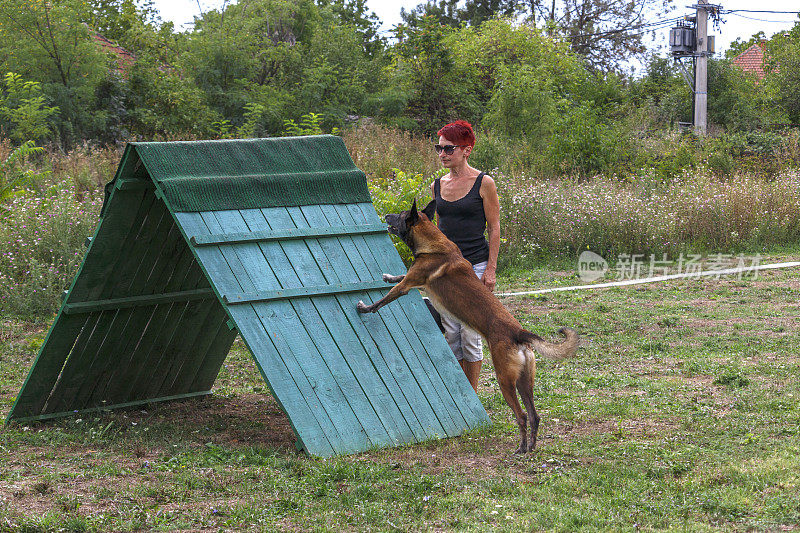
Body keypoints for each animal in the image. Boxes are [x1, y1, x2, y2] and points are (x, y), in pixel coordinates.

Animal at [356, 200, 576, 454]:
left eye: (401, 215)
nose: (386, 215)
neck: (434, 245)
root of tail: (517, 332)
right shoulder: (415, 281)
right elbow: (401, 275)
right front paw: (388, 276)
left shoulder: (409, 284)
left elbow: (383, 299)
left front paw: (364, 307)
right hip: (525, 382)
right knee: (534, 415)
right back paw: (530, 447)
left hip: (505, 381)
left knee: (521, 415)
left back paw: (520, 448)